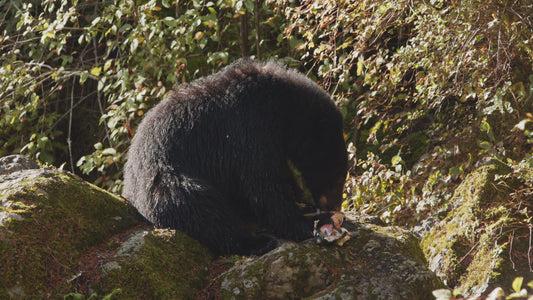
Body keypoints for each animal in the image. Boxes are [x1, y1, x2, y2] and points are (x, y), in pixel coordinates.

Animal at [122, 59, 348, 255]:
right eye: (337, 176)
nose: (335, 207)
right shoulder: (247, 130)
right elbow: (263, 185)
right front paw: (306, 223)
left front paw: (305, 206)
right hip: (165, 183)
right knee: (202, 209)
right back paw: (257, 242)